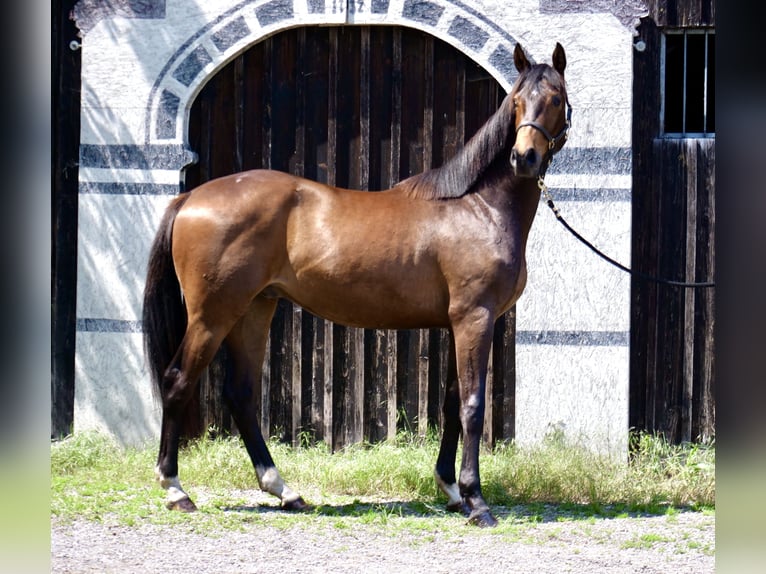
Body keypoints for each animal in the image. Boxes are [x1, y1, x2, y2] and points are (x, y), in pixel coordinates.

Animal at [146, 42, 568, 528]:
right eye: (516, 101)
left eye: (555, 98)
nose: (524, 158)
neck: (478, 206)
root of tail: (190, 198)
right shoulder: (475, 318)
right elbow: (473, 407)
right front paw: (476, 501)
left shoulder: (457, 323)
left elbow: (450, 404)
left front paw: (450, 490)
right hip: (213, 315)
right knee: (178, 381)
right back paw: (176, 490)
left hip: (253, 309)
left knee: (241, 395)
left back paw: (284, 491)